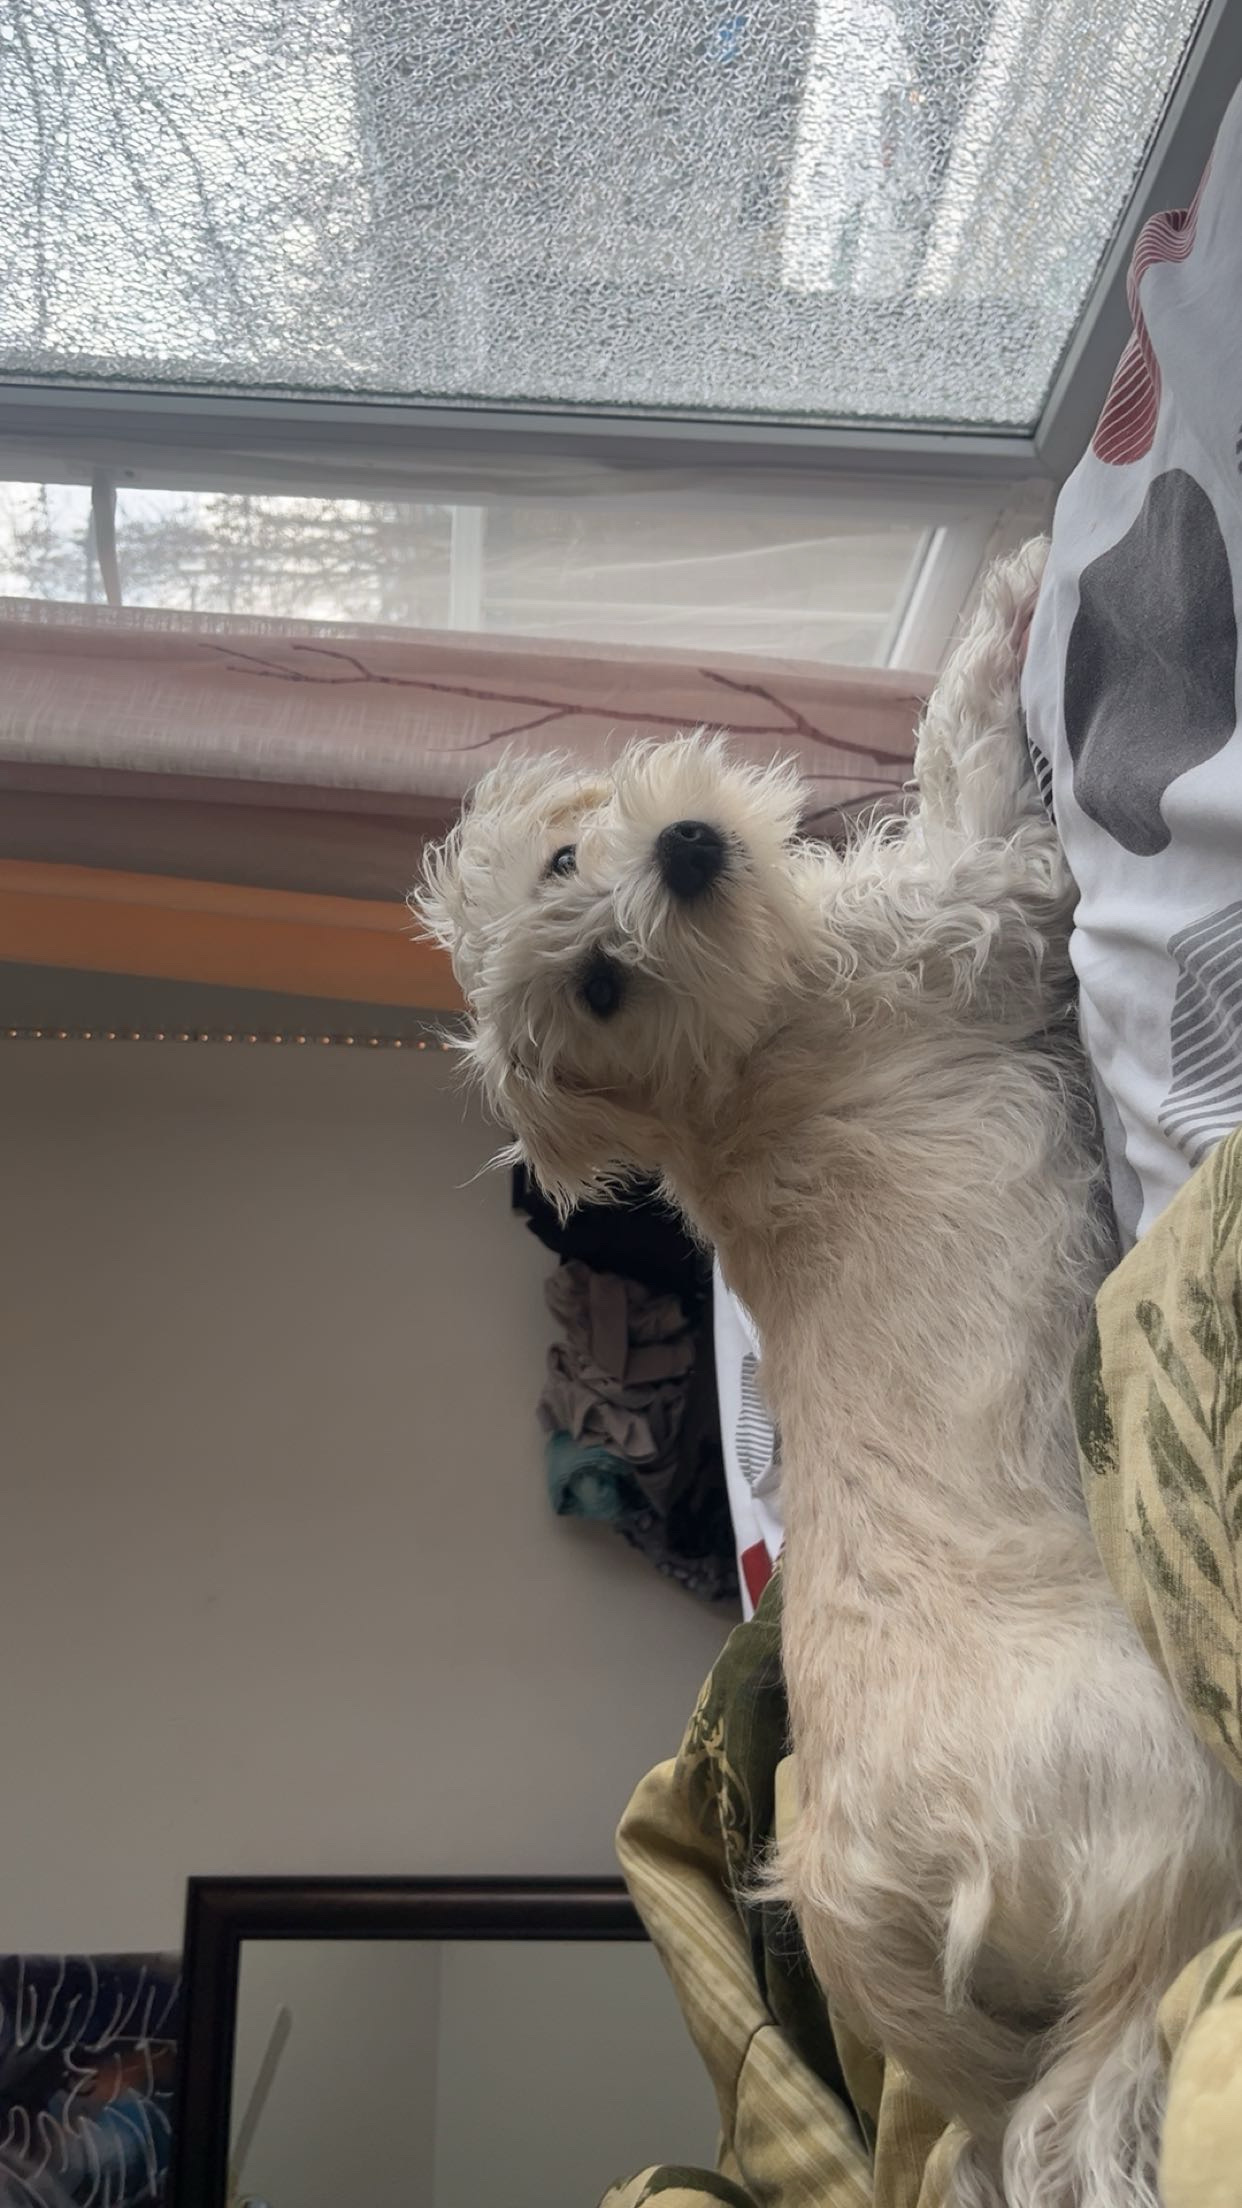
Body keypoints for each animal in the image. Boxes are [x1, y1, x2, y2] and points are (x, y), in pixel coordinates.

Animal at [417, 545, 1242, 2207]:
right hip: (1160, 1814)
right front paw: (1013, 595)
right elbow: (972, 754)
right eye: (600, 986)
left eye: (566, 864)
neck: (739, 1032)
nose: (684, 847)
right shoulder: (995, 900)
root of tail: (895, 1900)